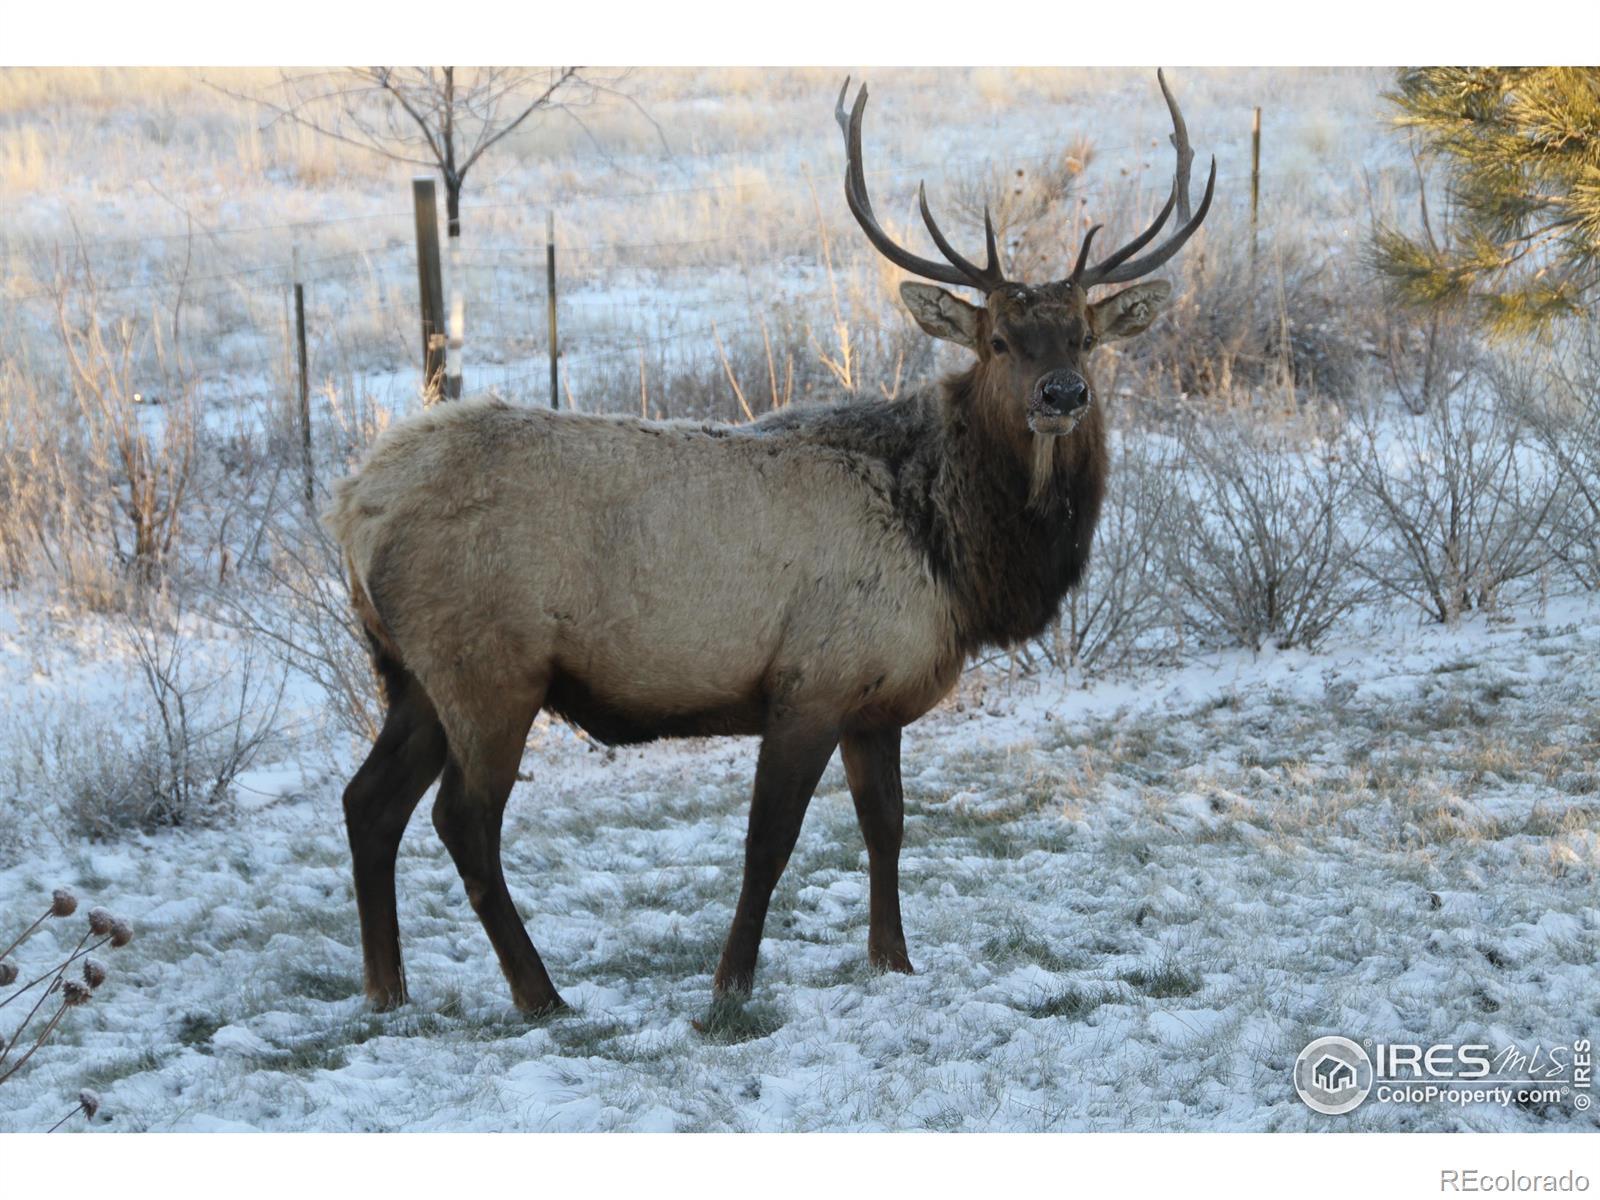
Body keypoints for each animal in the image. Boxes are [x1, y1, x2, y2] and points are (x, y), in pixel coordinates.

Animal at [324, 71, 1214, 1017]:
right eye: (1000, 341)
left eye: (1083, 335)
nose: (1062, 393)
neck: (956, 559)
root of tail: (351, 510)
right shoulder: (808, 681)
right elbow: (769, 842)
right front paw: (729, 985)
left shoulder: (873, 696)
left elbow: (887, 826)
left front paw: (893, 961)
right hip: (489, 667)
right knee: (462, 818)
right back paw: (541, 995)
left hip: (412, 673)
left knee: (368, 801)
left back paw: (387, 989)